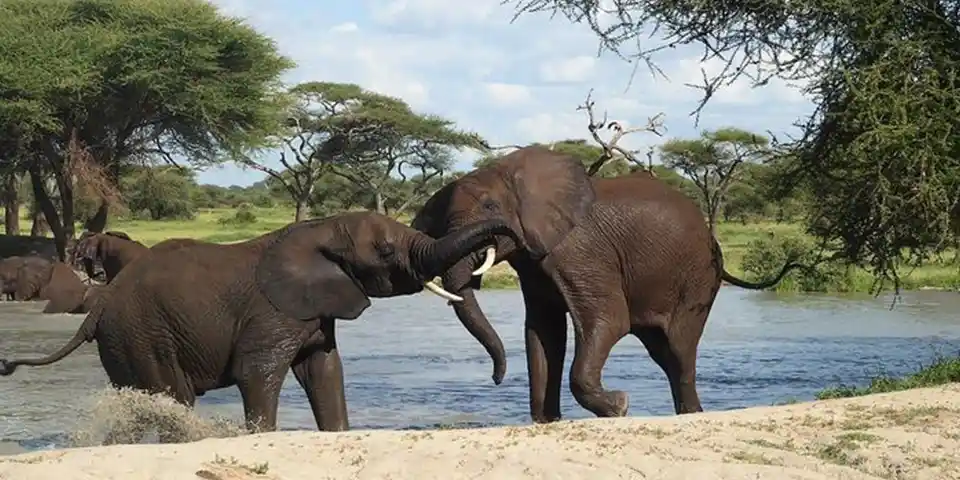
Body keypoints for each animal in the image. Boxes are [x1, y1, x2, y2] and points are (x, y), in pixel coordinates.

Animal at [0, 211, 517, 437]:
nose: (496, 379)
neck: (318, 228)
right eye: (387, 251)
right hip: (141, 334)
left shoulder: (315, 310)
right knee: (173, 395)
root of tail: (98, 308)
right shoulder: (273, 311)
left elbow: (325, 371)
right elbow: (257, 373)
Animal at [410, 146, 803, 423]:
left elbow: (608, 321)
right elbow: (543, 332)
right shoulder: (535, 263)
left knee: (679, 349)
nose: (495, 378)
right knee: (663, 351)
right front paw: (547, 421)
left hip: (698, 278)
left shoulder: (581, 251)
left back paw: (690, 415)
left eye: (492, 206)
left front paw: (619, 406)